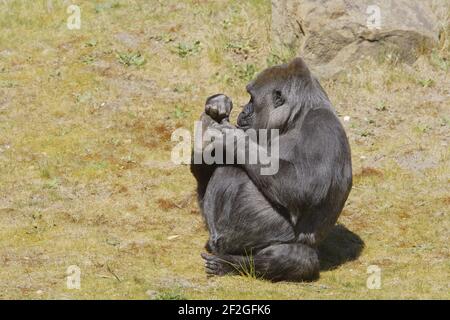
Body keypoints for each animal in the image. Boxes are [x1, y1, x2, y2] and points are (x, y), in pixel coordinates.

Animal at [190, 58, 352, 282]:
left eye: (252, 98)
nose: (243, 111)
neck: (295, 119)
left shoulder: (323, 127)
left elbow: (304, 188)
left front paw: (234, 141)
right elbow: (204, 170)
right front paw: (215, 108)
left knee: (298, 257)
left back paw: (230, 264)